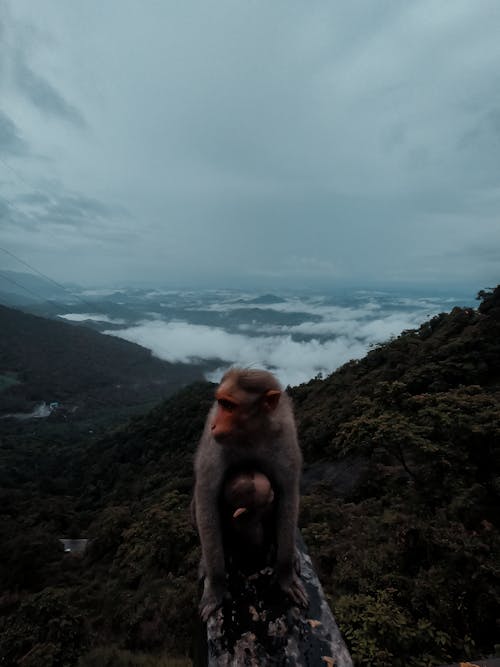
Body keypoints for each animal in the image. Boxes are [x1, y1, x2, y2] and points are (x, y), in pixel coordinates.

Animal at [192, 368, 306, 624]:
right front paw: (216, 587)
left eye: (229, 406)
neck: (251, 433)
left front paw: (285, 574)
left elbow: (288, 493)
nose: (214, 425)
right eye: (220, 403)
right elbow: (206, 499)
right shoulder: (214, 446)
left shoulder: (284, 437)